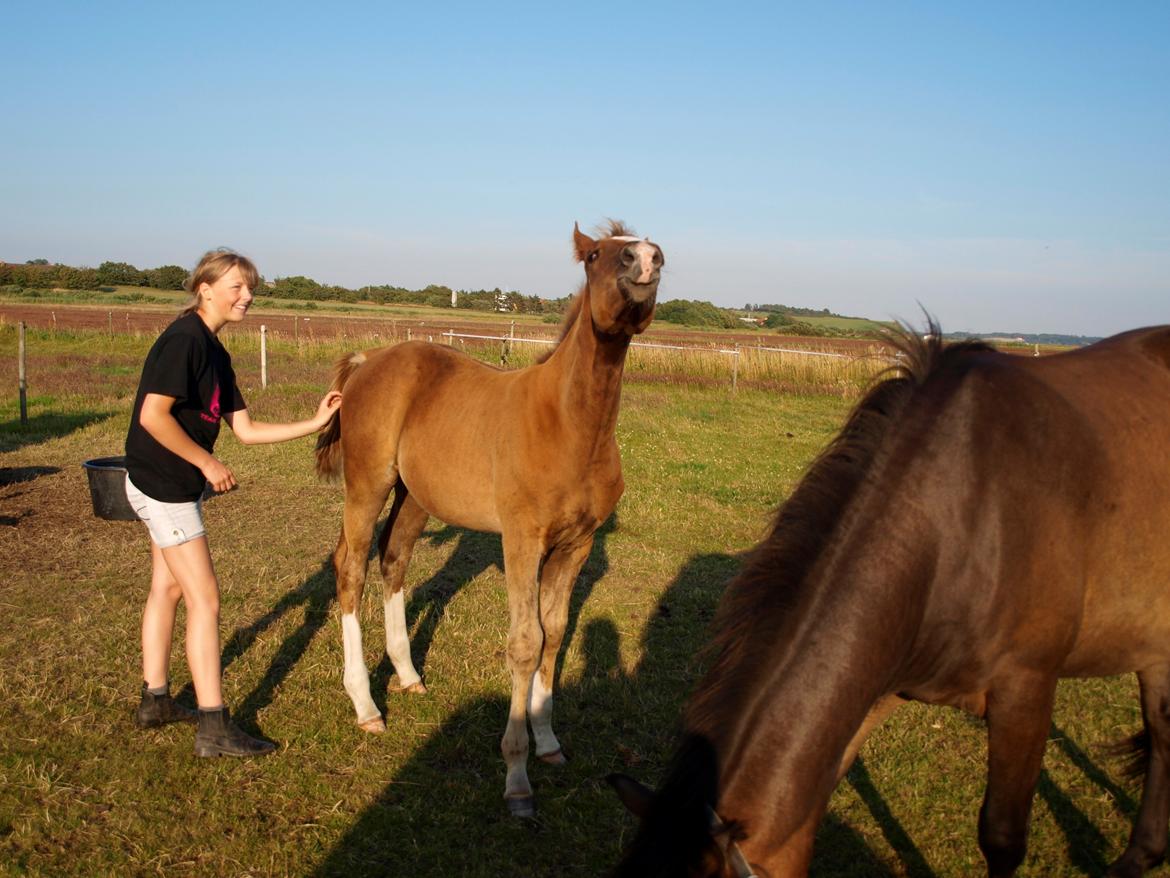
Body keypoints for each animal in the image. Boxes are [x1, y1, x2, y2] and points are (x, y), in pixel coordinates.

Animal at [315, 218, 664, 819]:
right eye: (597, 254)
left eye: (653, 253)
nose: (646, 261)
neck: (571, 426)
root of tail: (367, 361)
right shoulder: (522, 540)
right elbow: (524, 643)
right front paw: (518, 778)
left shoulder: (576, 545)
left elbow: (555, 633)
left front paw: (548, 743)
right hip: (367, 485)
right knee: (351, 568)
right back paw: (366, 705)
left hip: (415, 495)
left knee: (393, 559)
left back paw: (408, 676)